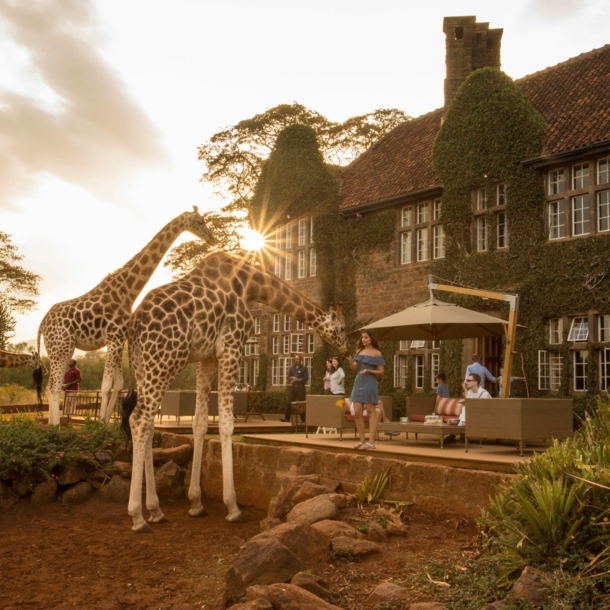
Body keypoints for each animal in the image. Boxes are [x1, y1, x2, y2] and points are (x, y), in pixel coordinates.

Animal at [37, 207, 214, 426]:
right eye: (200, 221)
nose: (212, 238)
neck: (128, 289)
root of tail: (42, 324)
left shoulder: (119, 338)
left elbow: (118, 383)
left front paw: (106, 423)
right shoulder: (113, 336)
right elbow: (106, 385)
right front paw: (99, 424)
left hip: (62, 348)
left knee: (51, 385)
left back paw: (52, 424)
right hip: (60, 347)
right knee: (53, 386)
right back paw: (56, 426)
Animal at [122, 249, 346, 528]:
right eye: (342, 328)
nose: (347, 349)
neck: (250, 285)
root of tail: (134, 324)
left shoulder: (207, 357)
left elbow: (200, 423)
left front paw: (196, 503)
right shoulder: (231, 347)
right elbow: (227, 423)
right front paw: (232, 506)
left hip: (143, 367)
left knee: (148, 423)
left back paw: (156, 510)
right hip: (165, 361)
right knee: (140, 420)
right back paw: (137, 516)